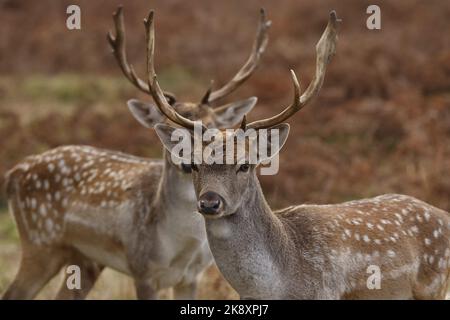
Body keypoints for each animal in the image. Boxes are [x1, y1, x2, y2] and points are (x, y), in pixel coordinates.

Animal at [1, 5, 270, 300]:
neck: (180, 245)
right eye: (169, 129)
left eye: (212, 128)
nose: (187, 162)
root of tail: (13, 173)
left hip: (84, 259)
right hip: (39, 241)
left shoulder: (191, 276)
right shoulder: (142, 269)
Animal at [152, 10, 450, 300]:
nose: (210, 202)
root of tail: (443, 214)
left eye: (245, 165)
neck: (279, 285)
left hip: (435, 287)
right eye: (194, 164)